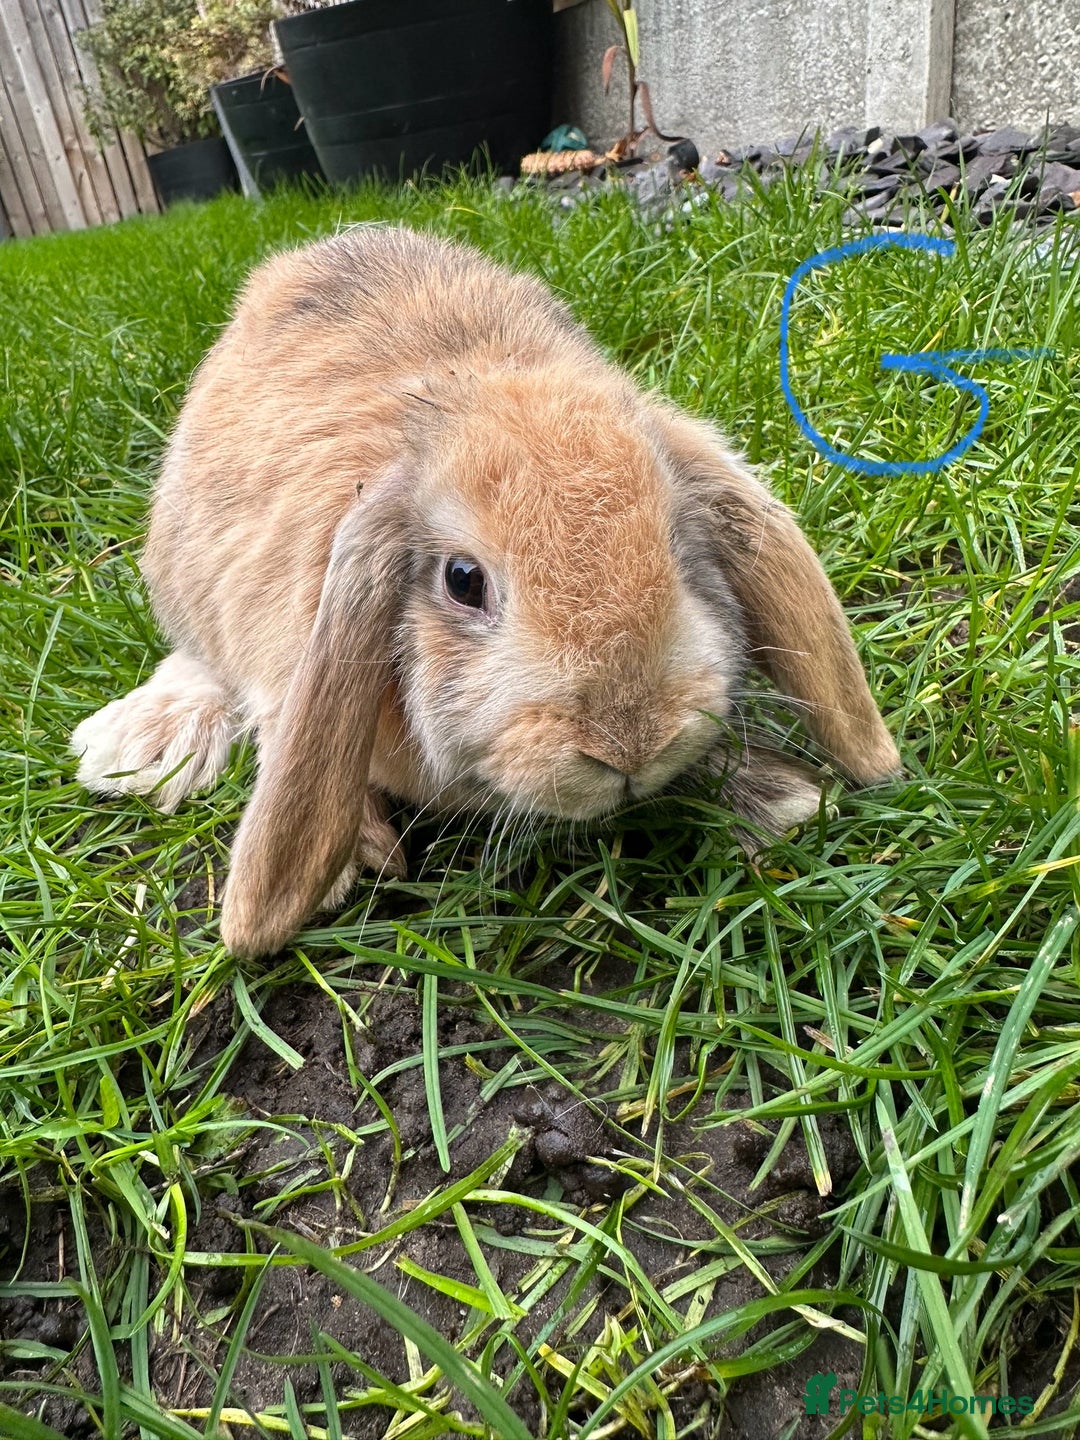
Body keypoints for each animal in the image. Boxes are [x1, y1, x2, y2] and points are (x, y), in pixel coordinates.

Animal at [72, 225, 901, 957]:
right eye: (462, 581)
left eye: (679, 543)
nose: (629, 743)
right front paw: (351, 859)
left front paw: (783, 800)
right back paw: (139, 746)